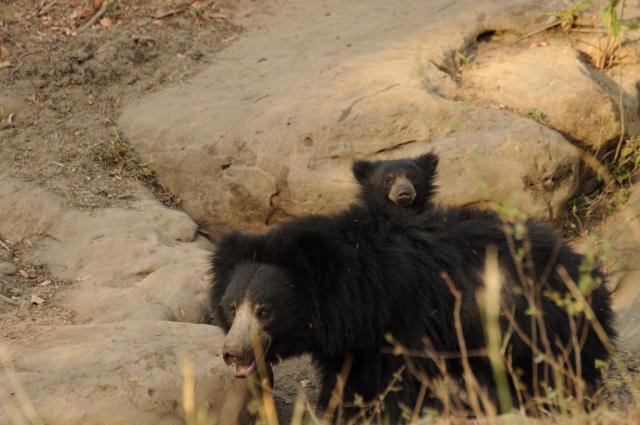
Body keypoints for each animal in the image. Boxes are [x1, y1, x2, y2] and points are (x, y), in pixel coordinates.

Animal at [210, 197, 615, 422]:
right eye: (232, 308)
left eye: (265, 311)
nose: (232, 353)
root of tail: (579, 263)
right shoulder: (353, 341)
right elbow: (348, 381)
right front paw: (340, 412)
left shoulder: (407, 319)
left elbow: (398, 384)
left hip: (536, 322)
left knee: (553, 372)